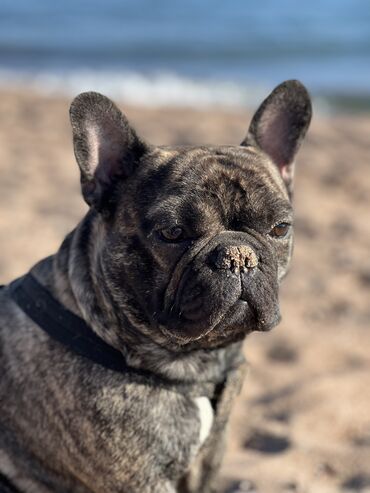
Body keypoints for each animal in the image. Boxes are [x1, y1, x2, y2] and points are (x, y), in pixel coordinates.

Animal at [0, 79, 312, 490]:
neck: (197, 360)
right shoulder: (139, 478)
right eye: (172, 233)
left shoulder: (208, 458)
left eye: (280, 229)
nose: (238, 255)